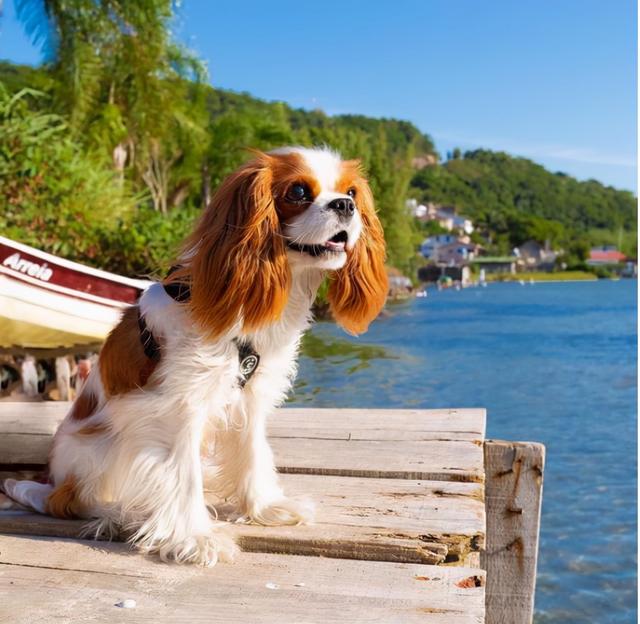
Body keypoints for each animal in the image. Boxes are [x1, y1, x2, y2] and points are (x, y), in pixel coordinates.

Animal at [2, 147, 388, 564]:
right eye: (299, 192)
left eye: (351, 192)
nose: (345, 205)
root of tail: (53, 476)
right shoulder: (178, 407)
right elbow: (183, 476)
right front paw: (195, 537)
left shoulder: (250, 396)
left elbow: (253, 451)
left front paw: (264, 507)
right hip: (101, 450)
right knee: (70, 500)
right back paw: (119, 513)